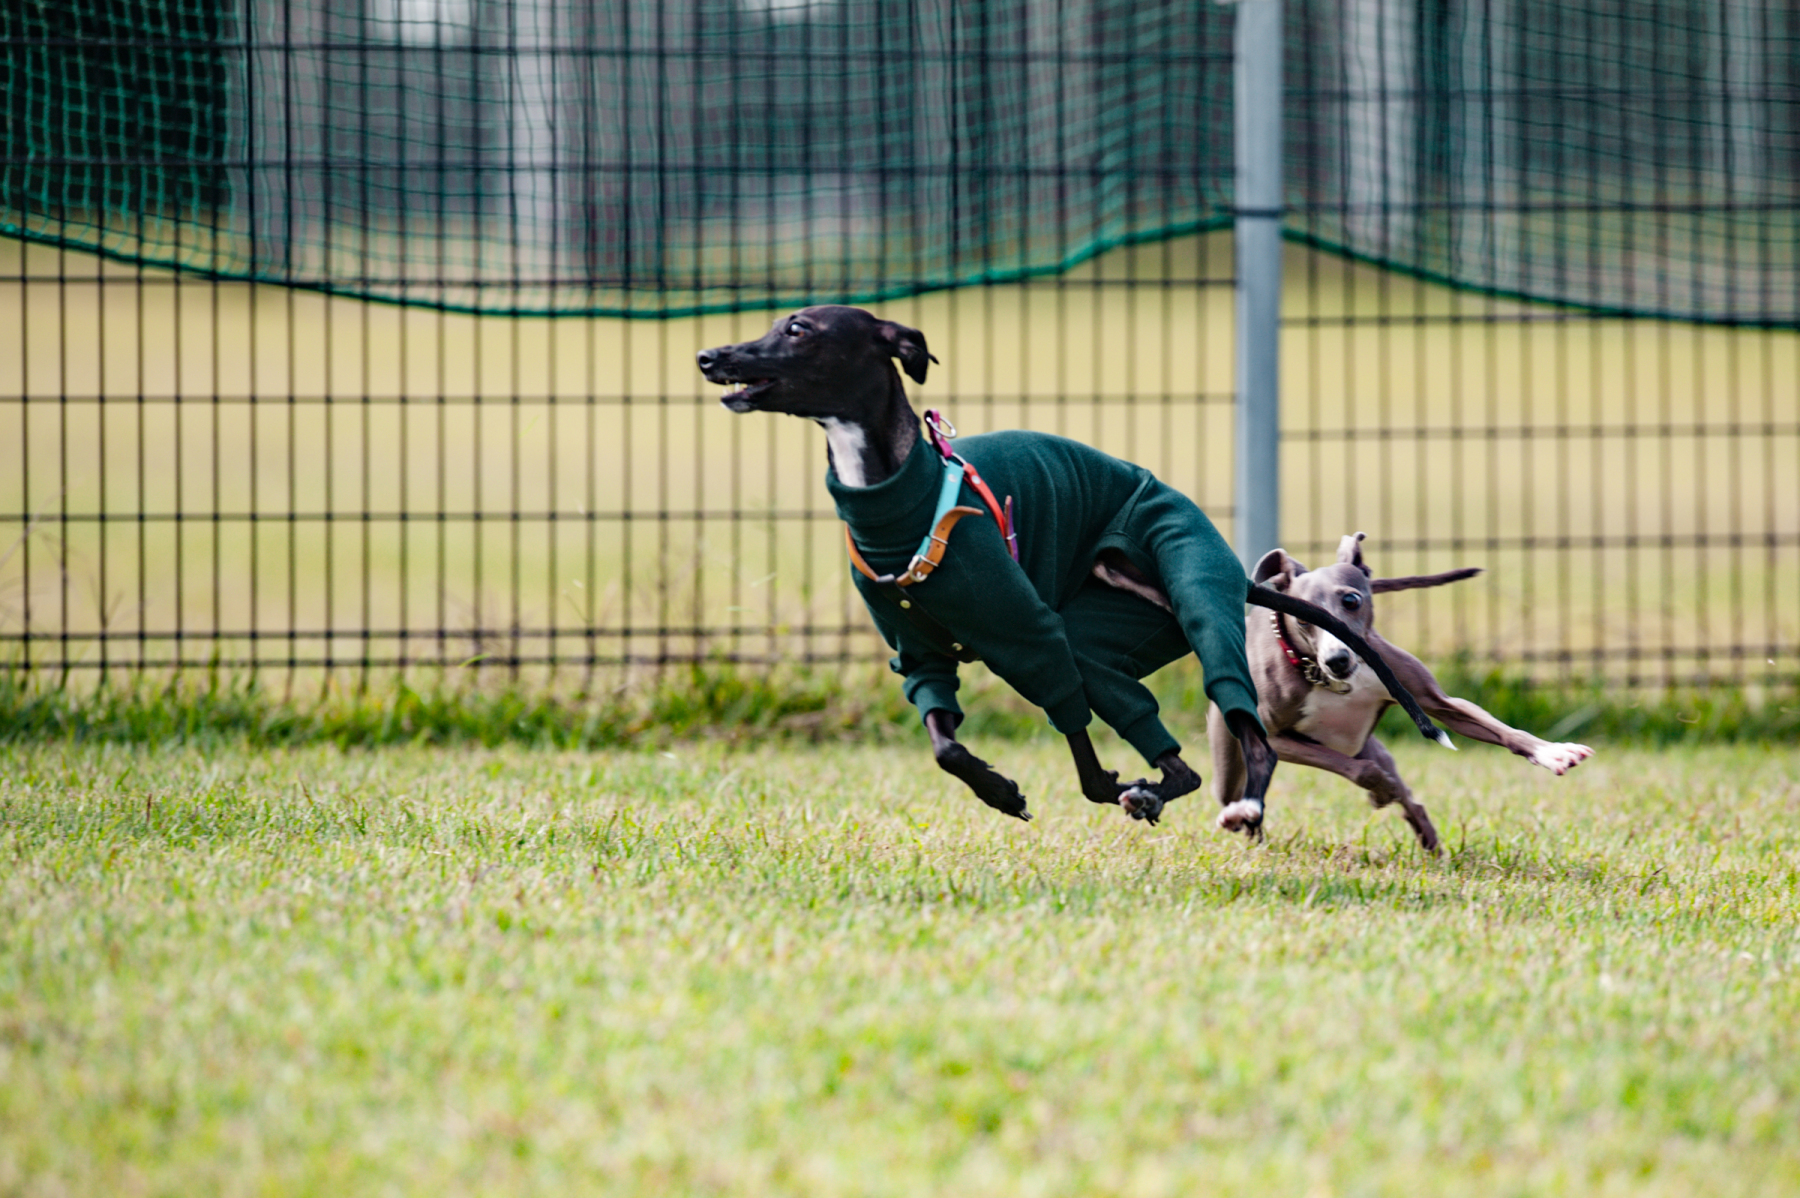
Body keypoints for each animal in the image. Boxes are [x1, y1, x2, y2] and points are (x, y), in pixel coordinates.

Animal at [697, 306, 1453, 835]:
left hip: (1198, 595)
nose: (709, 355)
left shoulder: (1030, 635)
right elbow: (945, 742)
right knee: (1164, 743)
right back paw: (1153, 790)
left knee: (1249, 734)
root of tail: (1240, 574)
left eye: (798, 328)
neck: (899, 501)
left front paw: (1046, 787)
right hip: (1114, 633)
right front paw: (1001, 789)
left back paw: (1238, 804)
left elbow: (1074, 736)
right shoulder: (917, 648)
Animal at [1207, 532, 1596, 851]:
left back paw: (1431, 843)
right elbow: (1360, 771)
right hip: (1233, 759)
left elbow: (1505, 731)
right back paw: (1244, 820)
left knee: (1410, 798)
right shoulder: (1277, 737)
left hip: (1371, 745)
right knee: (1238, 794)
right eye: (1302, 617)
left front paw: (1553, 753)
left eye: (1351, 600)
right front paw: (1380, 790)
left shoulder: (1436, 702)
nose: (1337, 659)